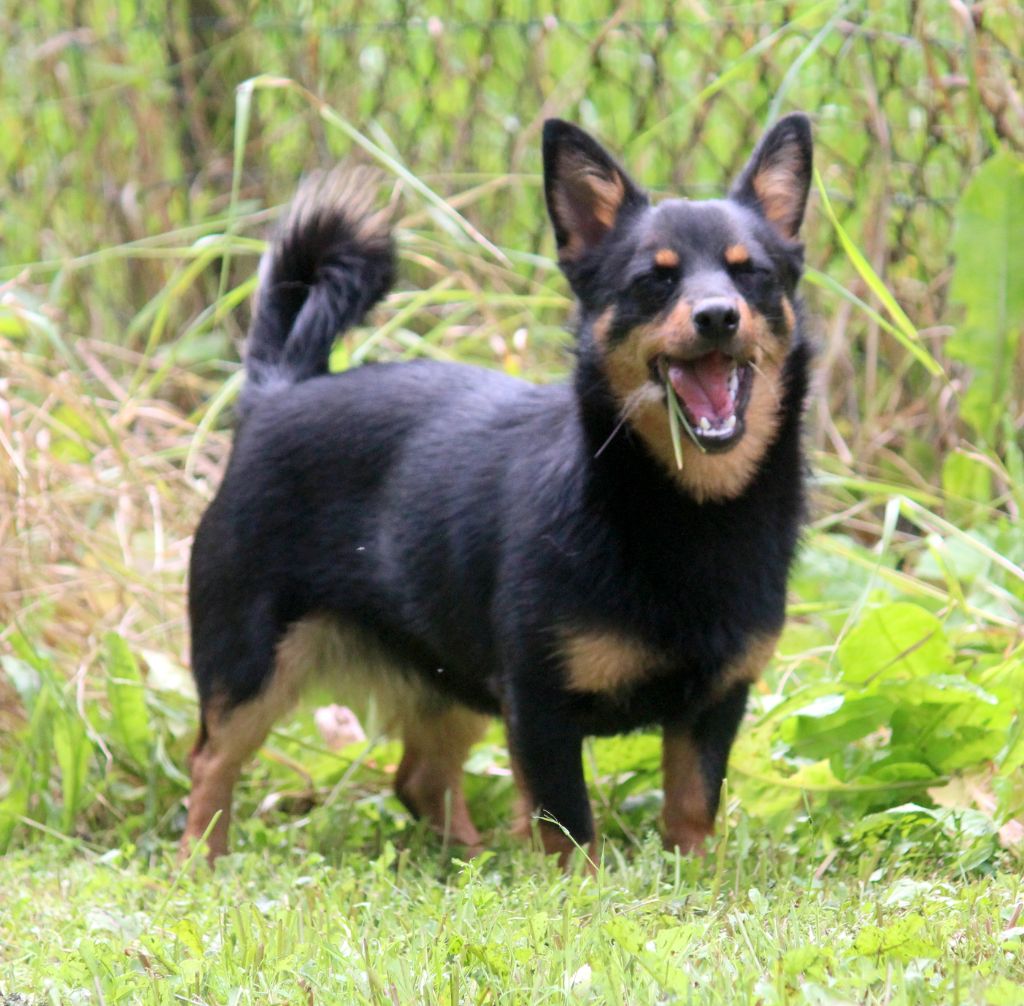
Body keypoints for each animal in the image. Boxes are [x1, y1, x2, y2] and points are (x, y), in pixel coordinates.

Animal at [180, 112, 811, 864]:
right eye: (652, 282)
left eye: (754, 275)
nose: (718, 314)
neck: (688, 509)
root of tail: (278, 389)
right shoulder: (537, 705)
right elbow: (569, 831)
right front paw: (577, 889)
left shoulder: (714, 704)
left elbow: (691, 811)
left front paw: (697, 876)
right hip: (250, 663)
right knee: (211, 765)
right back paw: (201, 863)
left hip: (447, 677)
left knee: (418, 777)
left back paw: (469, 861)